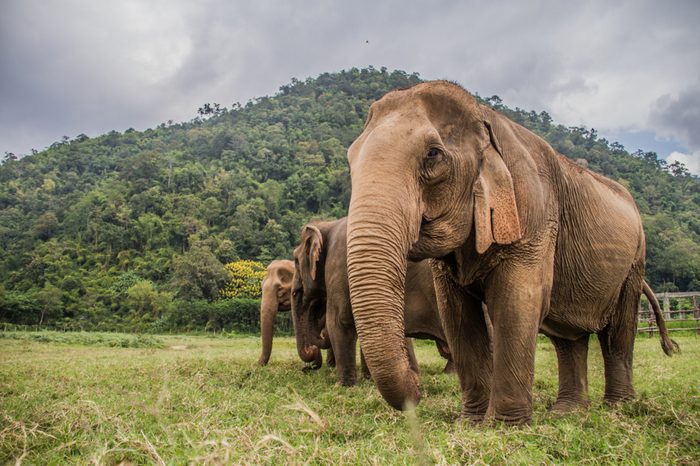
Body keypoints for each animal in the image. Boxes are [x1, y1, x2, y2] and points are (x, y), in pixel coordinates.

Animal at [290, 217, 454, 384]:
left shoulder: (339, 266)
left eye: (296, 261)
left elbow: (338, 321)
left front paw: (343, 385)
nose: (306, 366)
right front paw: (370, 380)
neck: (329, 224)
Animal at [344, 80, 680, 422]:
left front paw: (504, 424)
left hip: (634, 263)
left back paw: (618, 407)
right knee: (568, 338)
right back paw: (567, 411)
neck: (483, 118)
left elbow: (516, 301)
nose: (417, 385)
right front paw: (472, 422)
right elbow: (456, 314)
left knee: (617, 333)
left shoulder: (534, 210)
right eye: (350, 159)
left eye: (433, 154)